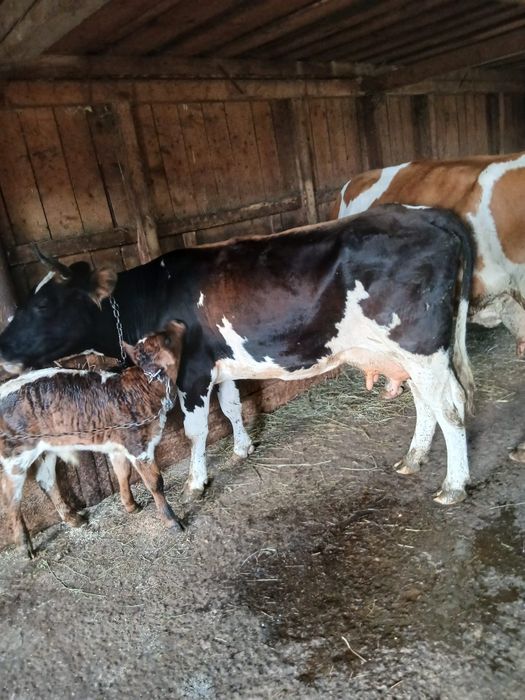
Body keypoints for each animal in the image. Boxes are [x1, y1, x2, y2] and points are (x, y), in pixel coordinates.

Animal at [0, 205, 474, 508]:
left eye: (44, 304)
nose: (2, 348)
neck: (152, 295)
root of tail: (427, 213)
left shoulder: (191, 371)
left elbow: (195, 430)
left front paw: (197, 482)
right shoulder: (219, 364)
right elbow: (230, 408)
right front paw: (243, 449)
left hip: (421, 345)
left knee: (450, 407)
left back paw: (454, 484)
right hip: (407, 353)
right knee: (427, 403)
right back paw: (413, 460)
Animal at [0, 323, 185, 557]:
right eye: (166, 339)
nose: (179, 322)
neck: (142, 387)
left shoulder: (118, 446)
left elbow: (122, 473)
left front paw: (130, 505)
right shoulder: (138, 446)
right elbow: (155, 482)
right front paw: (172, 521)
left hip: (46, 449)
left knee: (47, 480)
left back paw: (73, 519)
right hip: (15, 455)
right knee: (11, 498)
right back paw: (25, 546)